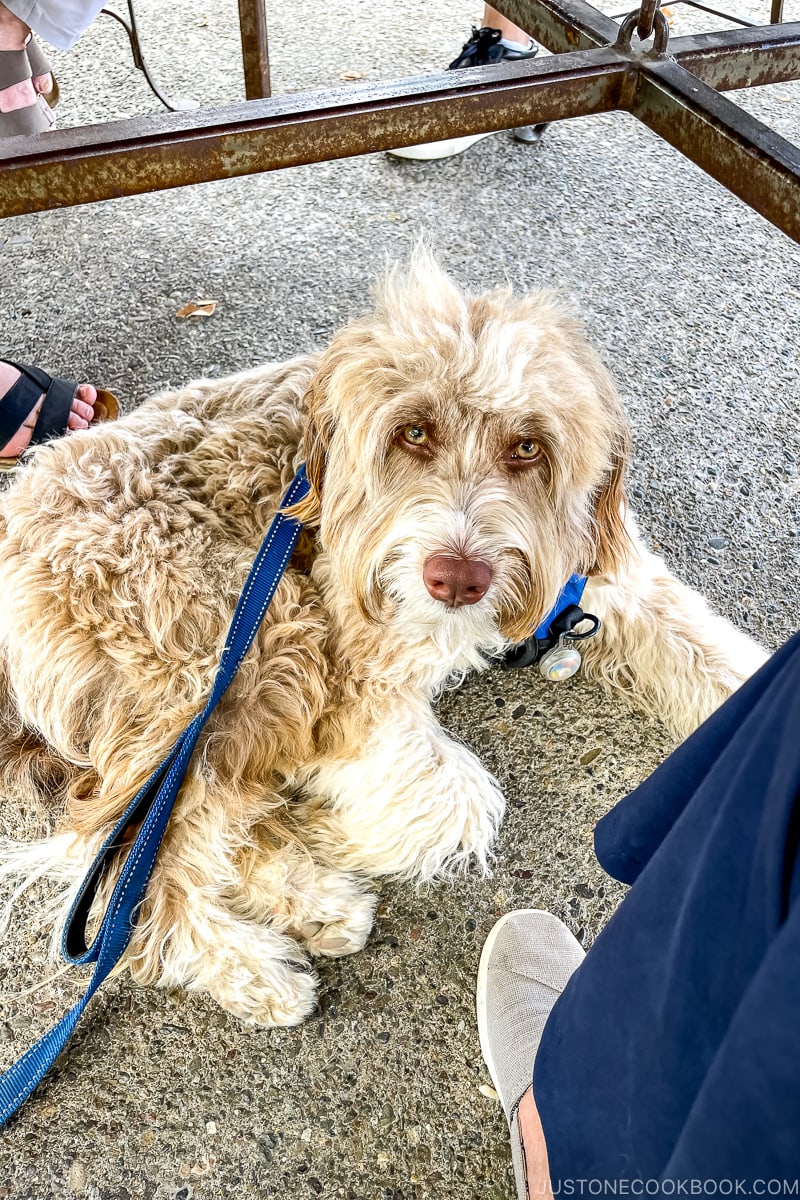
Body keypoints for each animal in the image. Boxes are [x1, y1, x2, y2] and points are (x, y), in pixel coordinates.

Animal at [0, 253, 767, 1022]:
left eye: (529, 447)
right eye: (413, 433)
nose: (456, 579)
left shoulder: (625, 585)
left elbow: (731, 672)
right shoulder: (358, 682)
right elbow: (462, 802)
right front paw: (325, 830)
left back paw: (315, 904)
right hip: (248, 651)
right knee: (125, 855)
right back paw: (248, 966)